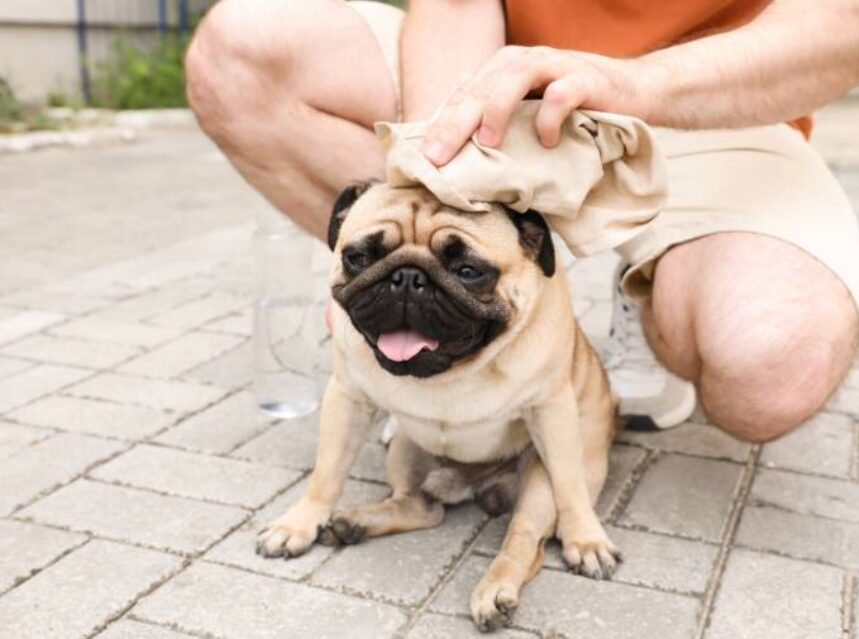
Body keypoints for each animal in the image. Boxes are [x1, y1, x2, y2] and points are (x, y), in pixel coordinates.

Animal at [255, 182, 620, 632]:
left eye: (468, 271)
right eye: (359, 257)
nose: (408, 277)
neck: (450, 372)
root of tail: (478, 486)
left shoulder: (551, 411)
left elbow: (569, 487)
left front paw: (585, 538)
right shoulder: (347, 398)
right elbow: (326, 474)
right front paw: (299, 524)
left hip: (538, 481)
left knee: (523, 539)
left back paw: (496, 591)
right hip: (407, 450)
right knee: (424, 508)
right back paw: (354, 523)